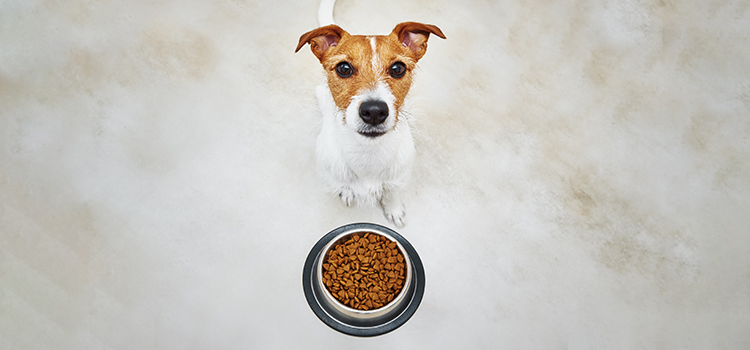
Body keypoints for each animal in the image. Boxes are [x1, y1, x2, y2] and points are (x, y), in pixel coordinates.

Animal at [296, 4, 446, 228]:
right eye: (343, 68)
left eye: (398, 68)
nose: (374, 111)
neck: (369, 154)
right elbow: (344, 185)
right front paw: (347, 191)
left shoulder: (397, 178)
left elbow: (392, 191)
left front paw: (393, 208)